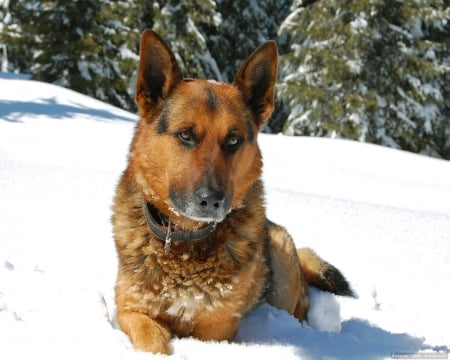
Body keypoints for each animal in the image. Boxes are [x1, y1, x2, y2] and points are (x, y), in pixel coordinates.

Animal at [112, 28, 356, 354]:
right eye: (185, 135)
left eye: (233, 141)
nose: (211, 201)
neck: (185, 247)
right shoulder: (131, 310)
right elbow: (152, 341)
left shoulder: (217, 329)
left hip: (282, 259)